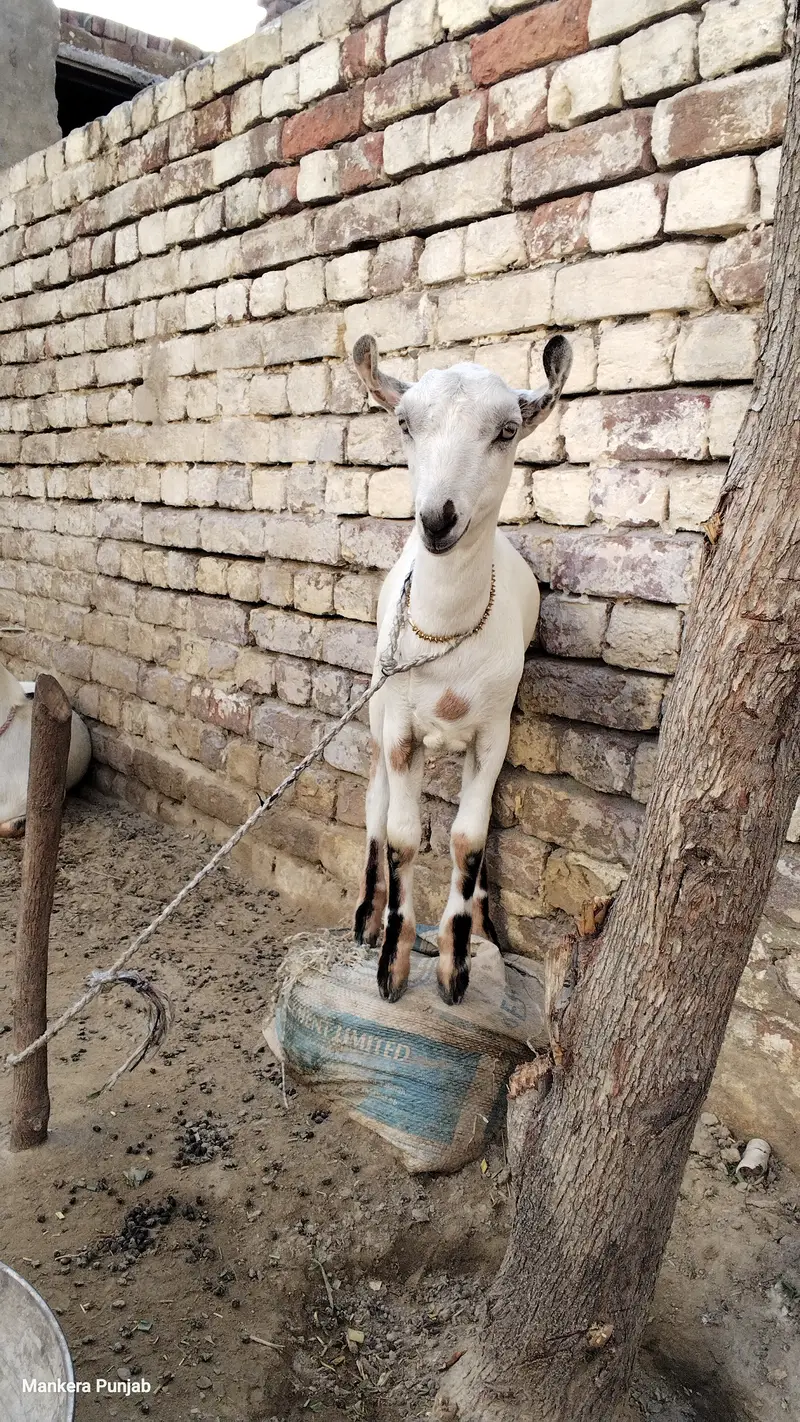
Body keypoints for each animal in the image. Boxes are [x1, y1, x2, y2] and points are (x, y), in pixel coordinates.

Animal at [352, 333, 573, 1005]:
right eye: (403, 423)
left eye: (507, 430)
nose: (438, 518)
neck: (447, 636)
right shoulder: (400, 726)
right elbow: (401, 836)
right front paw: (392, 967)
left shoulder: (493, 730)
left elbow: (468, 839)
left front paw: (456, 967)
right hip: (377, 711)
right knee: (374, 804)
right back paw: (366, 919)